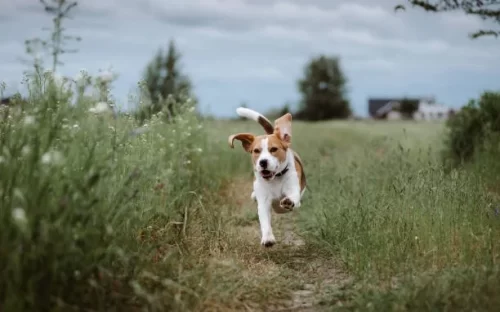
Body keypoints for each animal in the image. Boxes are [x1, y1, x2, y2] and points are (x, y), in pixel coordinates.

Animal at [229, 107, 306, 246]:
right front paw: (268, 238)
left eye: (274, 149)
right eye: (256, 151)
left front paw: (288, 202)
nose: (263, 162)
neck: (275, 179)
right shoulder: (264, 201)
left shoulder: (293, 189)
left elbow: (291, 198)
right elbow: (264, 221)